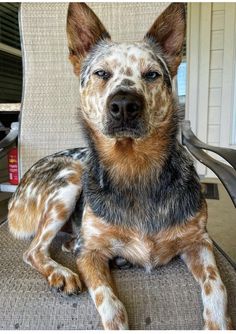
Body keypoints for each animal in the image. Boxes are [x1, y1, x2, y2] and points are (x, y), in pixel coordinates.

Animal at [7, 2, 232, 330]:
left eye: (152, 74)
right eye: (102, 73)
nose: (124, 104)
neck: (134, 167)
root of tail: (16, 193)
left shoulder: (199, 242)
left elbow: (218, 288)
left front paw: (218, 321)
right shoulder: (90, 255)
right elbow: (112, 306)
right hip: (70, 177)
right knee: (33, 249)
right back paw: (61, 271)